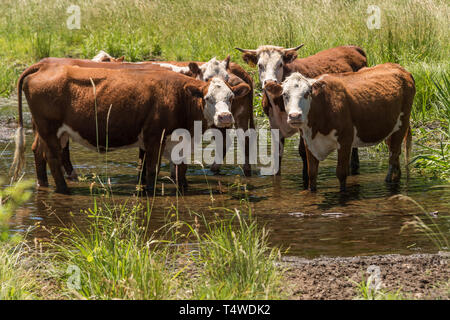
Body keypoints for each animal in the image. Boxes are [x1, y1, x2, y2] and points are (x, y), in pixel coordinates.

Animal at [10, 62, 250, 192]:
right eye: (208, 98)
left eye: (230, 97)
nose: (225, 117)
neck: (178, 97)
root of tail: (44, 66)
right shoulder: (155, 137)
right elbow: (151, 170)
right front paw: (151, 191)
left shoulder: (173, 141)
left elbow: (174, 170)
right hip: (49, 128)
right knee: (52, 157)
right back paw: (64, 190)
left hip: (53, 132)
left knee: (39, 152)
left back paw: (43, 185)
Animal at [236, 44, 366, 188]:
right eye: (260, 65)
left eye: (280, 64)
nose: (269, 82)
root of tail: (352, 47)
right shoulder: (274, 125)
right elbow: (277, 154)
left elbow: (303, 152)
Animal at [264, 63, 414, 191]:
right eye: (285, 95)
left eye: (307, 93)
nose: (295, 116)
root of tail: (400, 68)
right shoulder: (309, 141)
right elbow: (312, 173)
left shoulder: (345, 139)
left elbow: (341, 173)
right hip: (390, 129)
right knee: (395, 157)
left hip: (402, 123)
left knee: (393, 156)